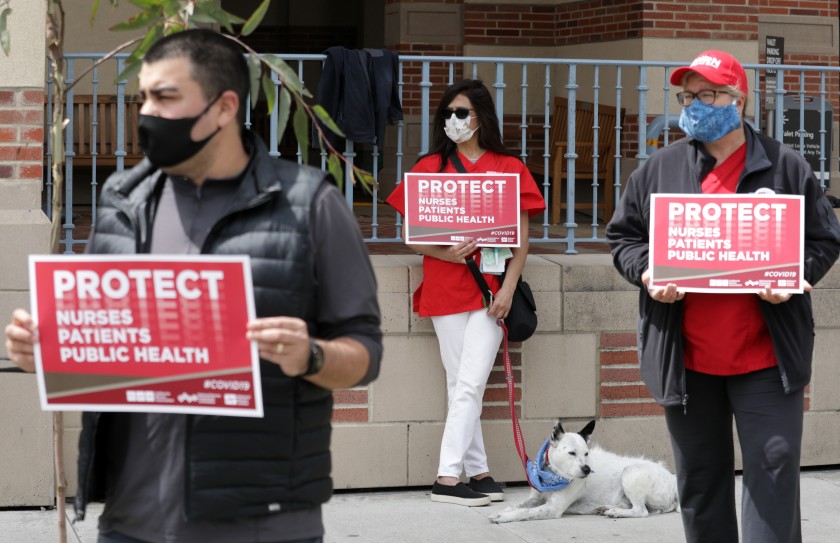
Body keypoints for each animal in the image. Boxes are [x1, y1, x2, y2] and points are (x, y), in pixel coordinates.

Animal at [488, 420, 680, 524]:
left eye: (586, 453)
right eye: (572, 453)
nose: (587, 469)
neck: (554, 474)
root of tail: (672, 480)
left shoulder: (552, 508)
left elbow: (524, 512)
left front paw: (503, 516)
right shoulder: (535, 498)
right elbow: (519, 505)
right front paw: (506, 510)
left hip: (630, 472)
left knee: (641, 511)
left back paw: (616, 512)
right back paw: (608, 507)